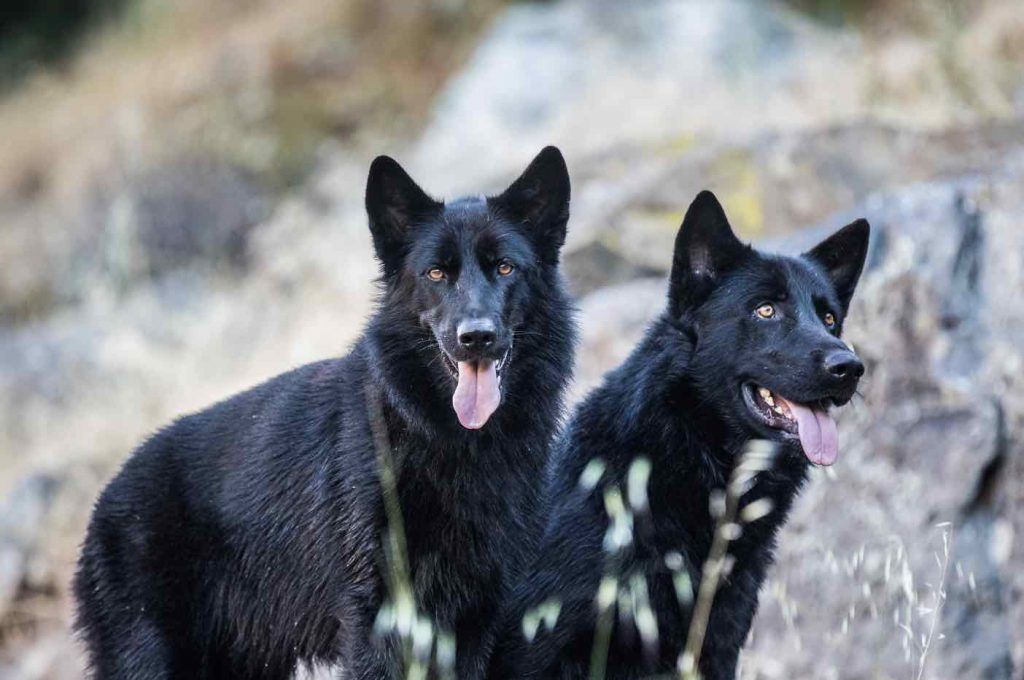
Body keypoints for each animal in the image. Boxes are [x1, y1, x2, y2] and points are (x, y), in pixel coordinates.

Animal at [74, 146, 577, 675]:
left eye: (505, 268)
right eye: (436, 274)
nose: (476, 337)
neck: (444, 438)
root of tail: (102, 505)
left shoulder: (475, 621)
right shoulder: (378, 623)